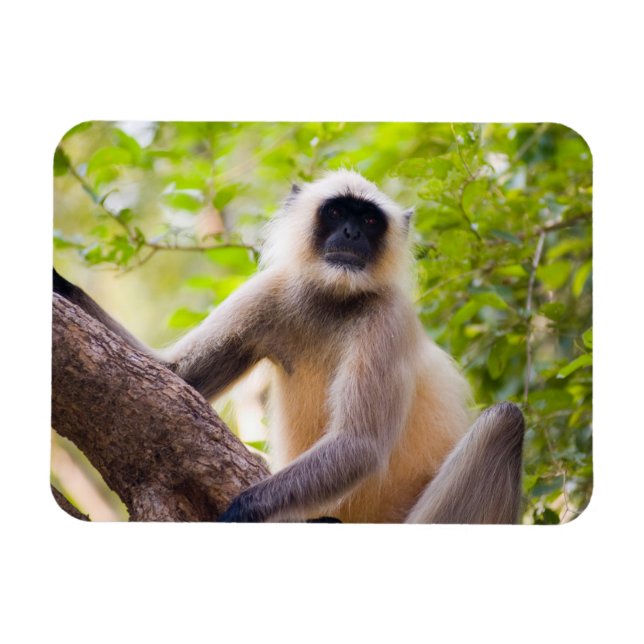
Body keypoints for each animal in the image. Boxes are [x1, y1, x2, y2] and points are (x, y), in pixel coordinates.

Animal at [54, 169, 525, 523]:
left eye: (370, 221)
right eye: (336, 212)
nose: (351, 232)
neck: (334, 300)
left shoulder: (387, 318)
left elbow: (360, 445)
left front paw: (240, 512)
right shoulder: (273, 289)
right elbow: (174, 377)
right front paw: (59, 283)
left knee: (506, 419)